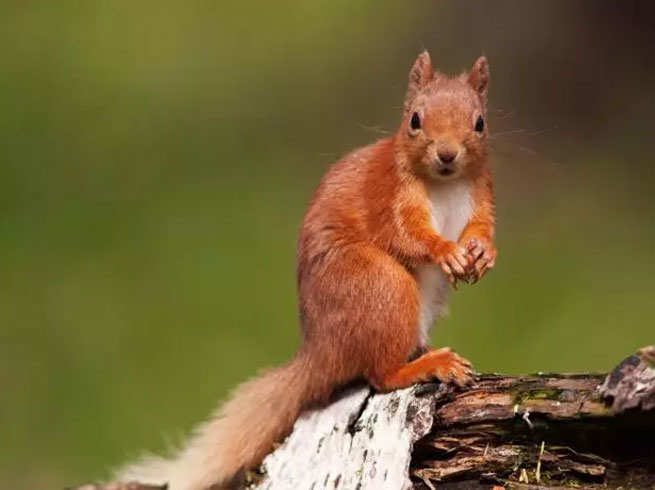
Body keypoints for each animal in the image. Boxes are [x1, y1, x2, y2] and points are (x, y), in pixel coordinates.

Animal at [107, 50, 498, 490]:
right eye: (415, 119)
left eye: (479, 123)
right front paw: (446, 250)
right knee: (380, 374)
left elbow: (482, 227)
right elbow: (405, 234)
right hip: (381, 284)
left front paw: (483, 253)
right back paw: (428, 365)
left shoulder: (480, 192)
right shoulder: (387, 194)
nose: (447, 154)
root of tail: (320, 352)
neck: (444, 184)